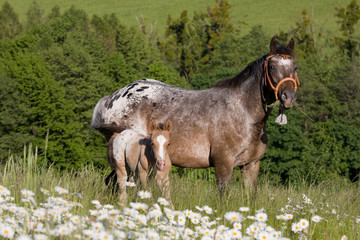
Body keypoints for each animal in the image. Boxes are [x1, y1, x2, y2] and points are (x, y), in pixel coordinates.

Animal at [92, 37, 298, 193]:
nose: (288, 97)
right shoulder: (224, 164)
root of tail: (112, 98)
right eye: (272, 67)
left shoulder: (251, 166)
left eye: (295, 67)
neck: (243, 114)